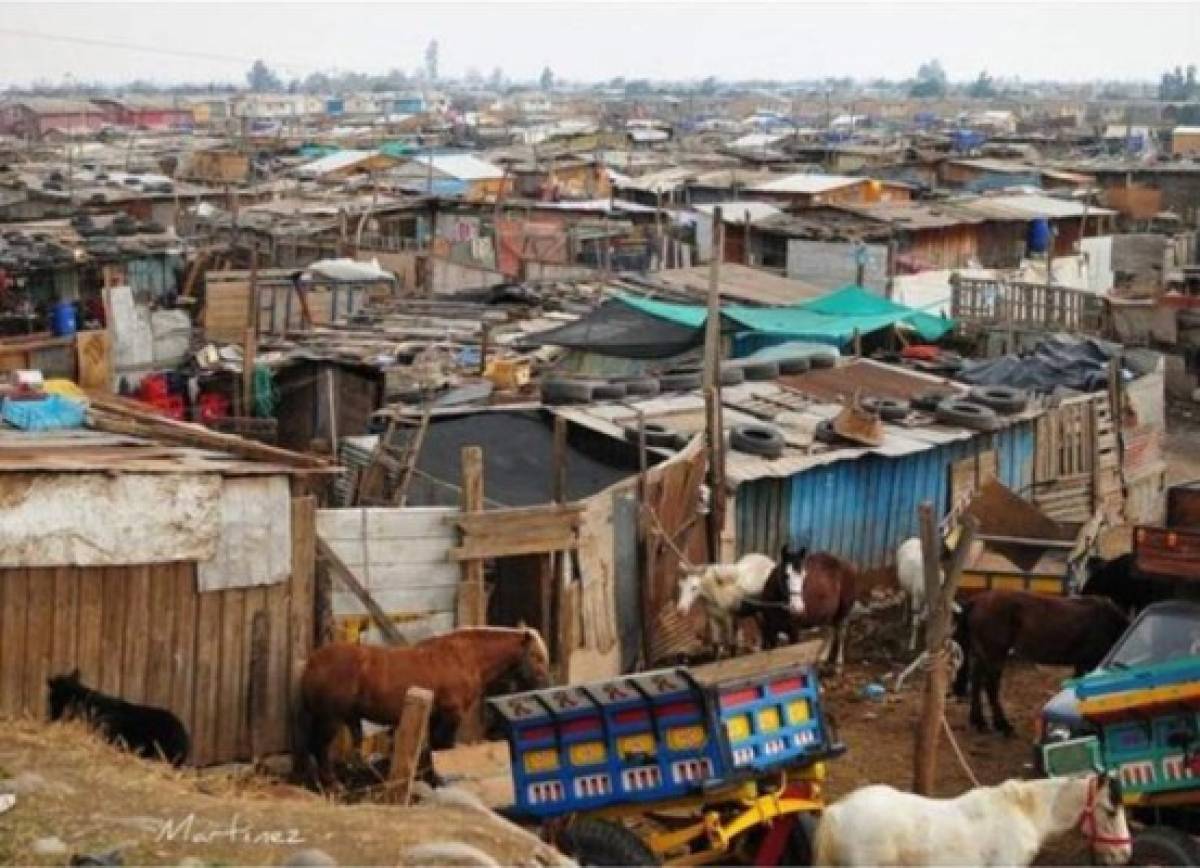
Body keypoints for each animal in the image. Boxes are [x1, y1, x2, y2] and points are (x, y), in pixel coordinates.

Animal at [297, 629, 549, 782]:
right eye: (536, 656)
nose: (547, 685)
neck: (464, 658)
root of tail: (312, 662)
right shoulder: (451, 715)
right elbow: (444, 747)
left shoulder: (436, 716)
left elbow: (435, 748)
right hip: (331, 719)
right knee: (319, 748)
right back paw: (331, 784)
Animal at [960, 588, 1128, 734]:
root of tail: (977, 601)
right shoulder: (1087, 663)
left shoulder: (1080, 665)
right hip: (994, 655)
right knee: (990, 687)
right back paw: (1003, 725)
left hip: (982, 654)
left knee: (976, 682)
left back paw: (978, 721)